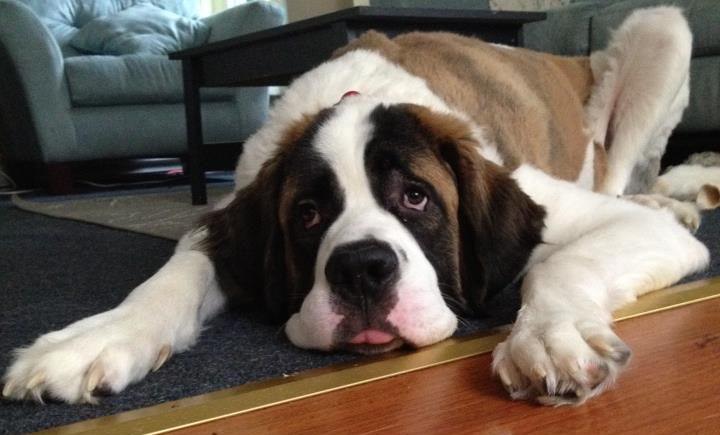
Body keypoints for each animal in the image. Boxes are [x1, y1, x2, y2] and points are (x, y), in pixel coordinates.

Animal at [1, 7, 708, 408]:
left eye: (416, 197)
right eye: (308, 215)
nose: (362, 270)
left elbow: (559, 264)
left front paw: (549, 336)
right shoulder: (227, 216)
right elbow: (175, 274)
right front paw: (95, 336)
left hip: (663, 32)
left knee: (621, 179)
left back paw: (672, 200)